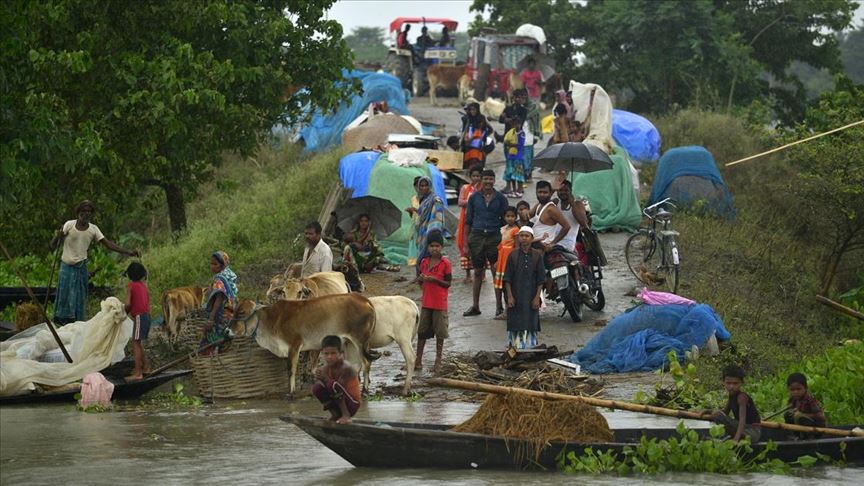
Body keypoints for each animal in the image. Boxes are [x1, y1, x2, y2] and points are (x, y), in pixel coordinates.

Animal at [228, 295, 377, 394]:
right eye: (233, 311)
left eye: (241, 312)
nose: (227, 330)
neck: (272, 319)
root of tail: (365, 300)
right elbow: (311, 370)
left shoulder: (294, 345)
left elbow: (291, 370)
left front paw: (291, 393)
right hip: (352, 343)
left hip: (359, 341)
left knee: (366, 363)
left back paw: (365, 390)